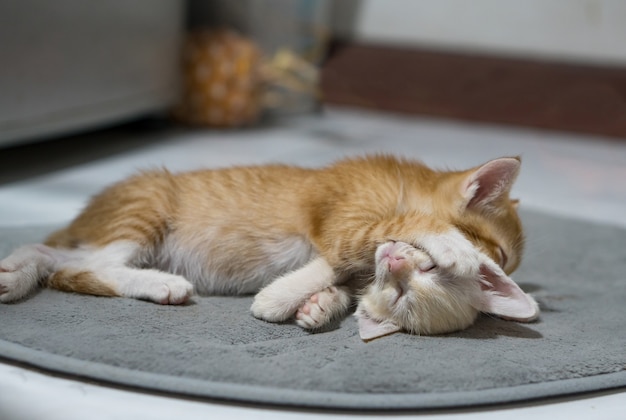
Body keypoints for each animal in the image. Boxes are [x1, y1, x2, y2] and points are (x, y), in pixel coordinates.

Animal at [0, 156, 536, 340]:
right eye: (501, 257)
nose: (501, 270)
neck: (401, 182)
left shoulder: (352, 254)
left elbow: (341, 274)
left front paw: (318, 305)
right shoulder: (349, 227)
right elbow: (386, 233)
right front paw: (451, 244)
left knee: (61, 263)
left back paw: (15, 273)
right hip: (145, 207)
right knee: (83, 267)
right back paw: (163, 283)